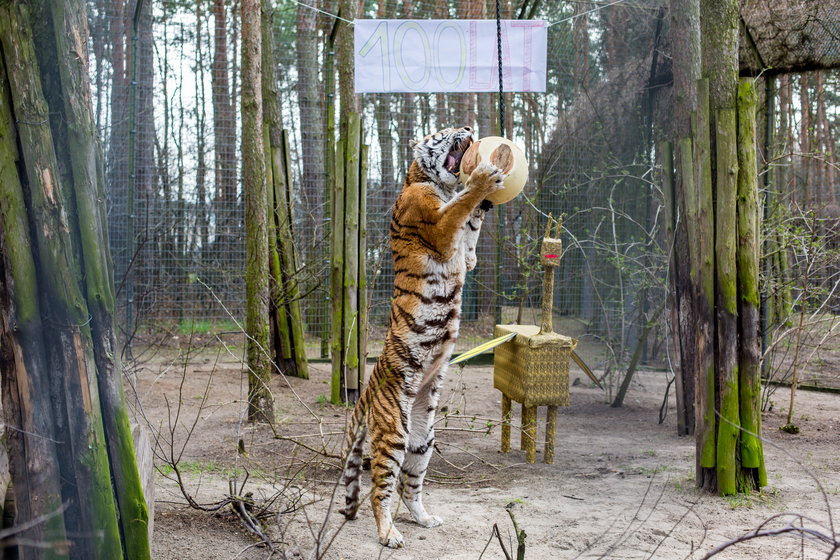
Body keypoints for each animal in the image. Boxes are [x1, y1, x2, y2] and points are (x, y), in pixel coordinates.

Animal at [338, 126, 508, 548]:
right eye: (446, 131)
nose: (469, 127)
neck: (432, 183)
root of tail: (367, 391)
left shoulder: (465, 251)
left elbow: (471, 234)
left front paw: (485, 201)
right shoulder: (439, 226)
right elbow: (461, 207)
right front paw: (482, 181)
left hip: (422, 438)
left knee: (407, 486)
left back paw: (424, 518)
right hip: (394, 433)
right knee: (379, 490)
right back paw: (389, 534)